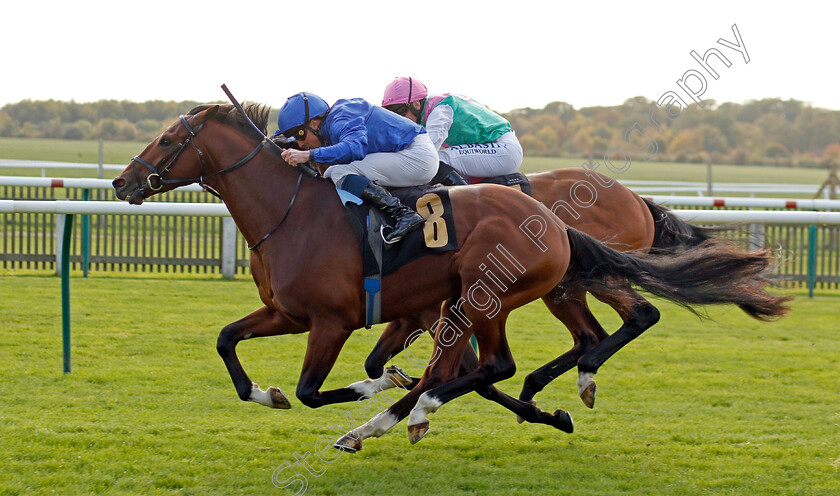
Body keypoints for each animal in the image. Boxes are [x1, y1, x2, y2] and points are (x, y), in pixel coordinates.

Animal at [111, 102, 788, 452]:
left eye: (169, 138)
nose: (121, 181)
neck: (293, 210)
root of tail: (551, 218)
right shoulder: (289, 313)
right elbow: (227, 340)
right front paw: (265, 392)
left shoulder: (335, 321)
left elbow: (319, 388)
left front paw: (379, 391)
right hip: (507, 298)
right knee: (531, 356)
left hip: (498, 297)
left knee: (539, 353)